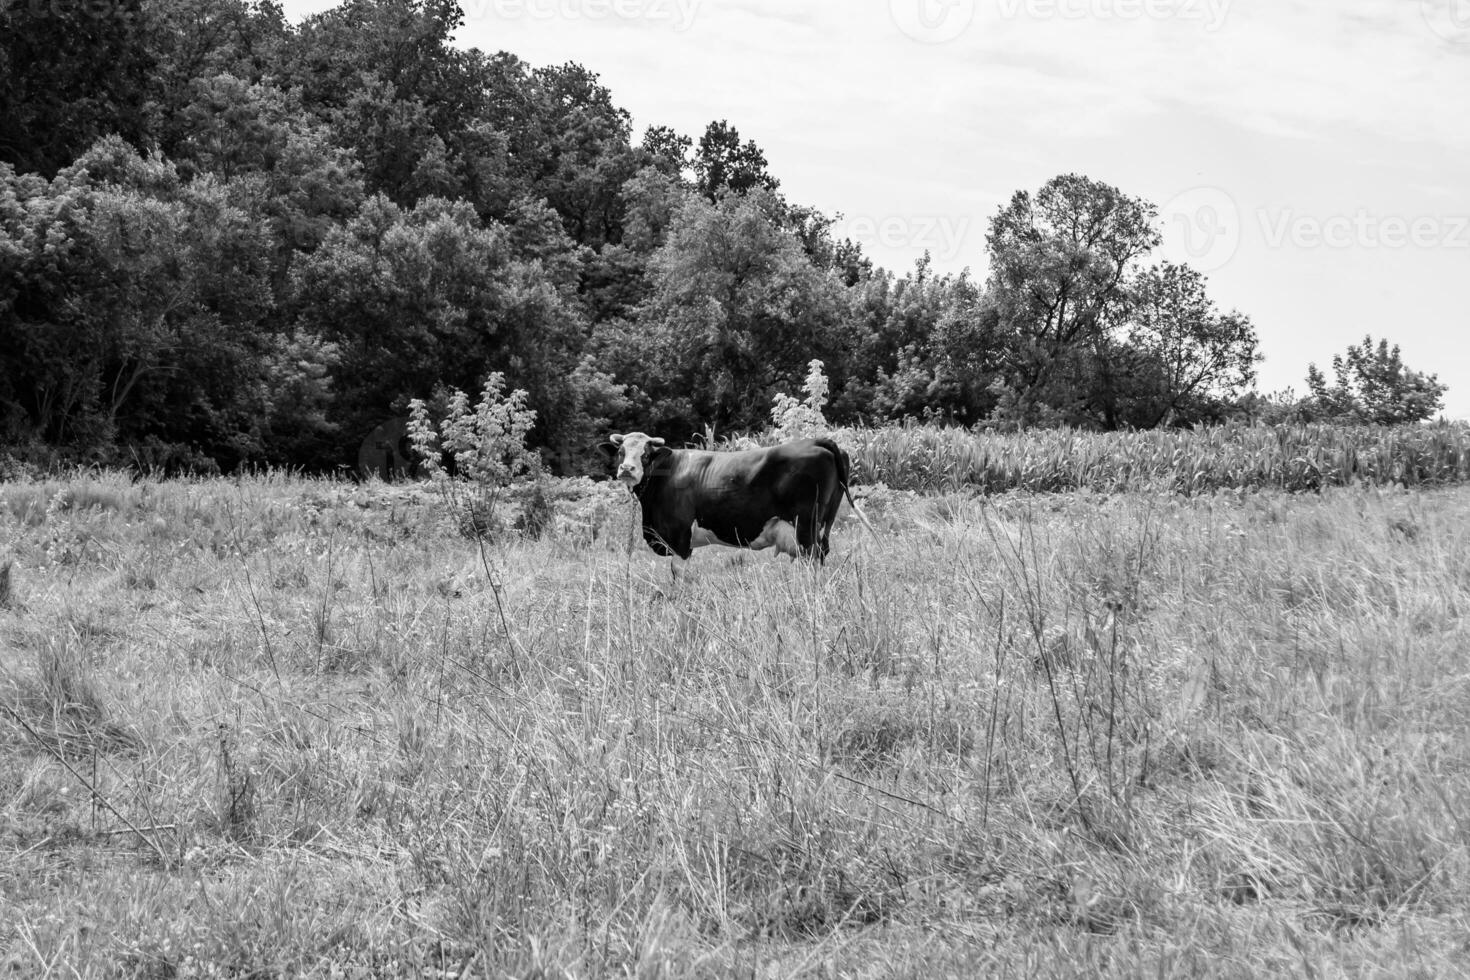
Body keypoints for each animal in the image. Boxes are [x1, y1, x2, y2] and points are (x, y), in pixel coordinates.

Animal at [608, 431, 858, 564]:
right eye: (621, 452)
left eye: (645, 455)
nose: (627, 469)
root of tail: (814, 441)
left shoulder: (680, 540)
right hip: (825, 523)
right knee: (822, 553)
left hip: (805, 526)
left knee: (811, 557)